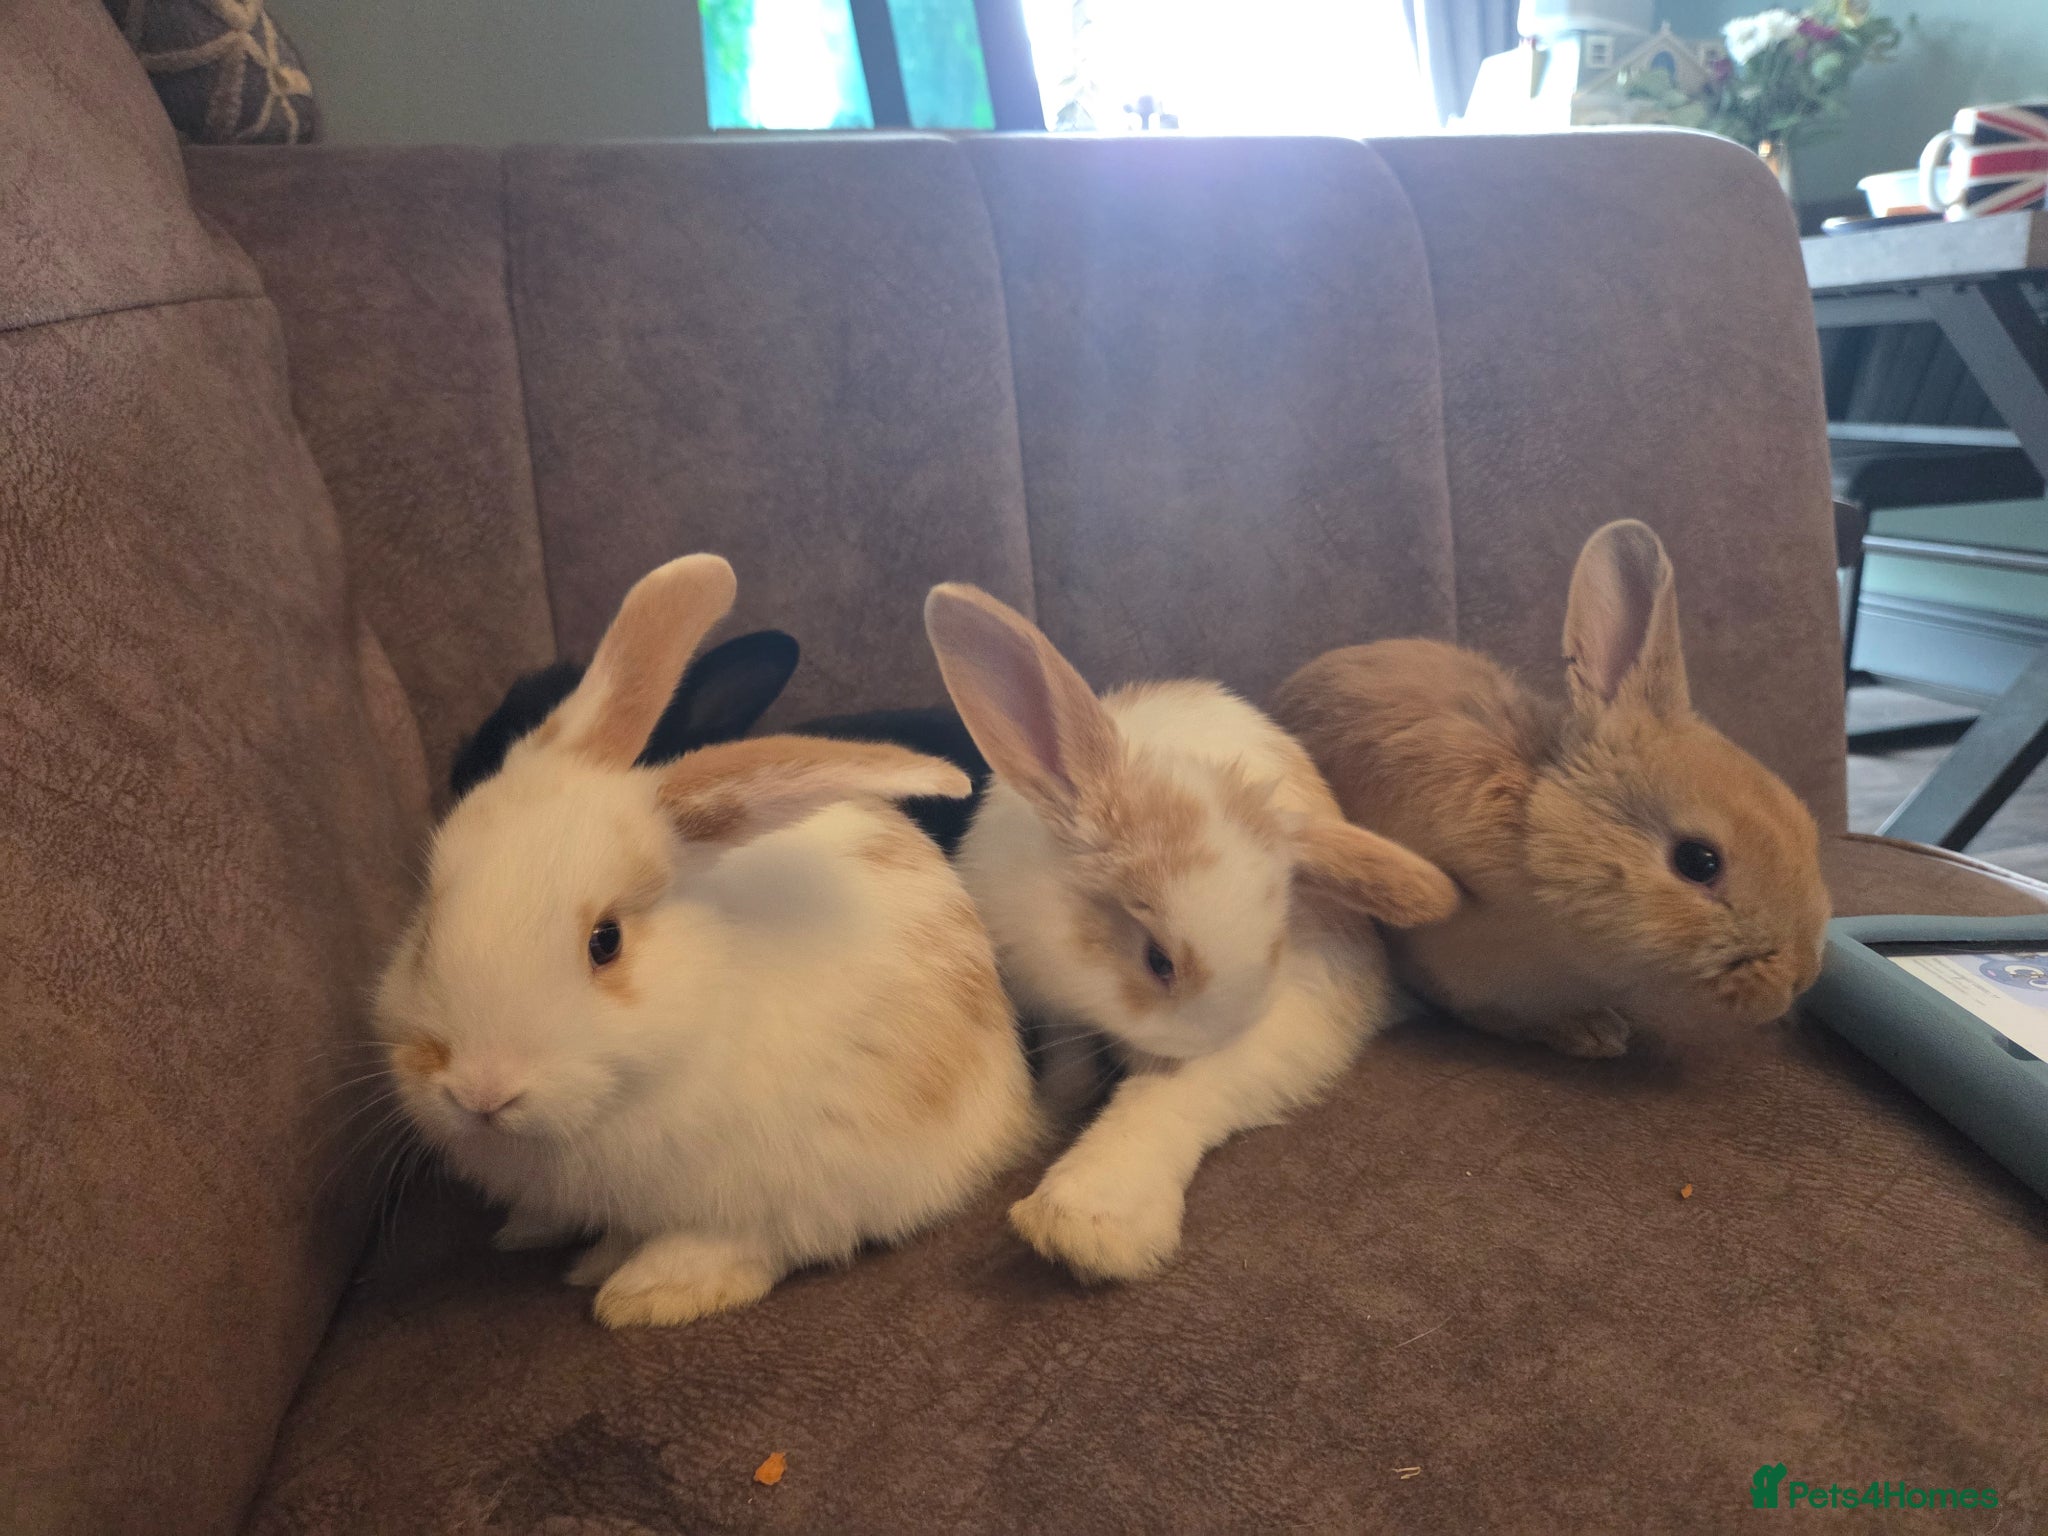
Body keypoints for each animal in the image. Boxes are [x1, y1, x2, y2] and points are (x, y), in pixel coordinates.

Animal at [920, 583, 1458, 1283]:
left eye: (1276, 945)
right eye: (1158, 960)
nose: (1196, 1043)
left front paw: (1084, 1230)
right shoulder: (1043, 992)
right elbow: (1068, 1058)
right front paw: (1065, 1098)